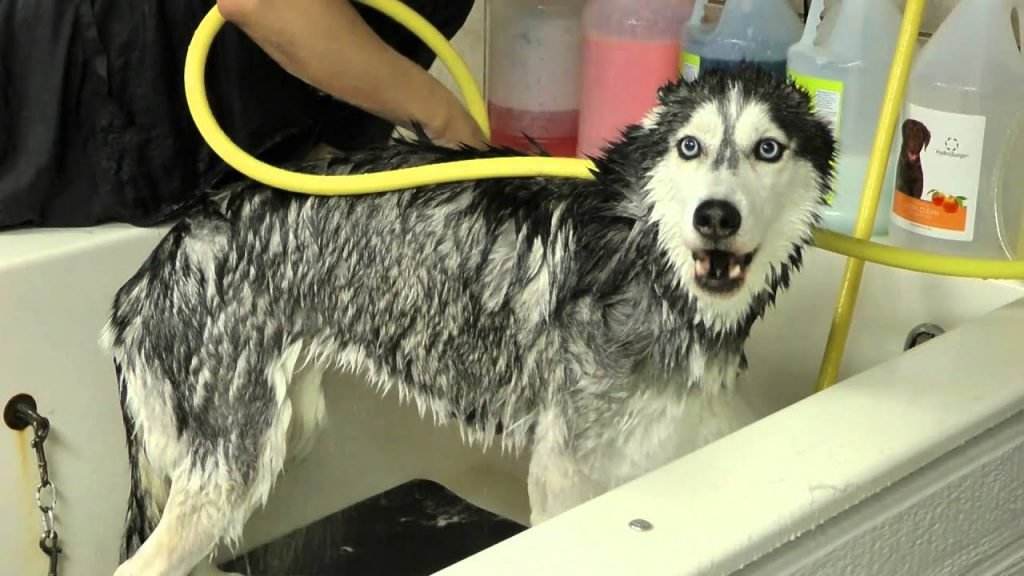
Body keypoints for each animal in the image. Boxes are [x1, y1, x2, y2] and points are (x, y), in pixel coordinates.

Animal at [103, 65, 835, 569]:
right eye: (689, 147)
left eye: (769, 149)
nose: (716, 217)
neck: (641, 254)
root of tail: (159, 260)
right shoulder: (564, 479)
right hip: (229, 467)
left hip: (283, 430)